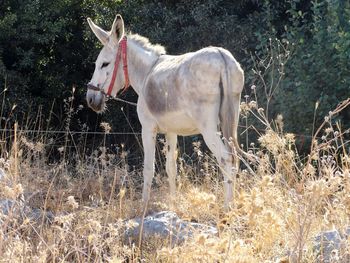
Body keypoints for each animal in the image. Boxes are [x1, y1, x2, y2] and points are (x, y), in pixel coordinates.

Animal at [85, 14, 243, 210]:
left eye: (104, 64)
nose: (90, 100)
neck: (146, 73)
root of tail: (222, 57)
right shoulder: (171, 131)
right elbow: (171, 168)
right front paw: (173, 202)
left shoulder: (147, 128)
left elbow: (148, 168)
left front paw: (144, 206)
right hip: (232, 117)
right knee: (234, 157)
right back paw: (233, 203)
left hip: (208, 127)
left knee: (226, 158)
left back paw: (227, 206)